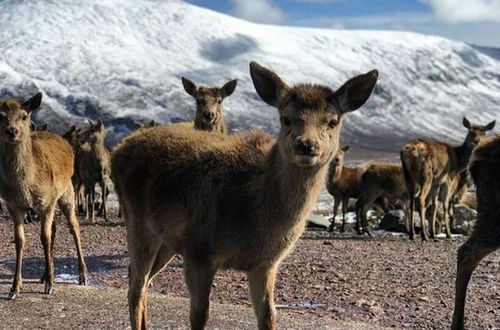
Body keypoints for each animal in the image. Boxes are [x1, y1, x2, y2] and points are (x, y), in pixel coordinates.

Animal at [0, 93, 87, 300]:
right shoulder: (13, 205)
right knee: (55, 228)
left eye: (24, 116)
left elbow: (44, 238)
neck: (24, 185)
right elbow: (19, 240)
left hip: (66, 192)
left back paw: (82, 275)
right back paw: (45, 274)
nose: (11, 131)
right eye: (0, 116)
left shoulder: (45, 202)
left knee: (74, 227)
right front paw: (14, 288)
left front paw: (50, 285)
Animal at [112, 62, 378, 330]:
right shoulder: (199, 248)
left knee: (141, 279)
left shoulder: (266, 263)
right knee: (136, 286)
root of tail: (118, 149)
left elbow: (269, 315)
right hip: (137, 221)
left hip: (167, 240)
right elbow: (199, 315)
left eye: (333, 121)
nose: (306, 145)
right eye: (285, 118)